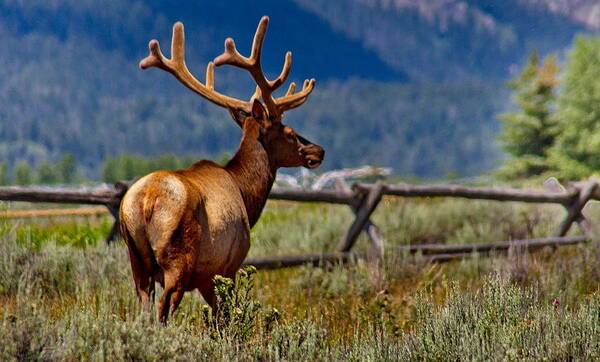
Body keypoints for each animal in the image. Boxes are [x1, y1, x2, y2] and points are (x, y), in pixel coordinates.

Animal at [118, 17, 324, 322]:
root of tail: (145, 200)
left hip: (136, 259)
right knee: (164, 308)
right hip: (178, 257)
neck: (246, 196)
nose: (319, 151)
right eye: (290, 133)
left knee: (144, 307)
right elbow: (223, 320)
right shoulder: (227, 266)